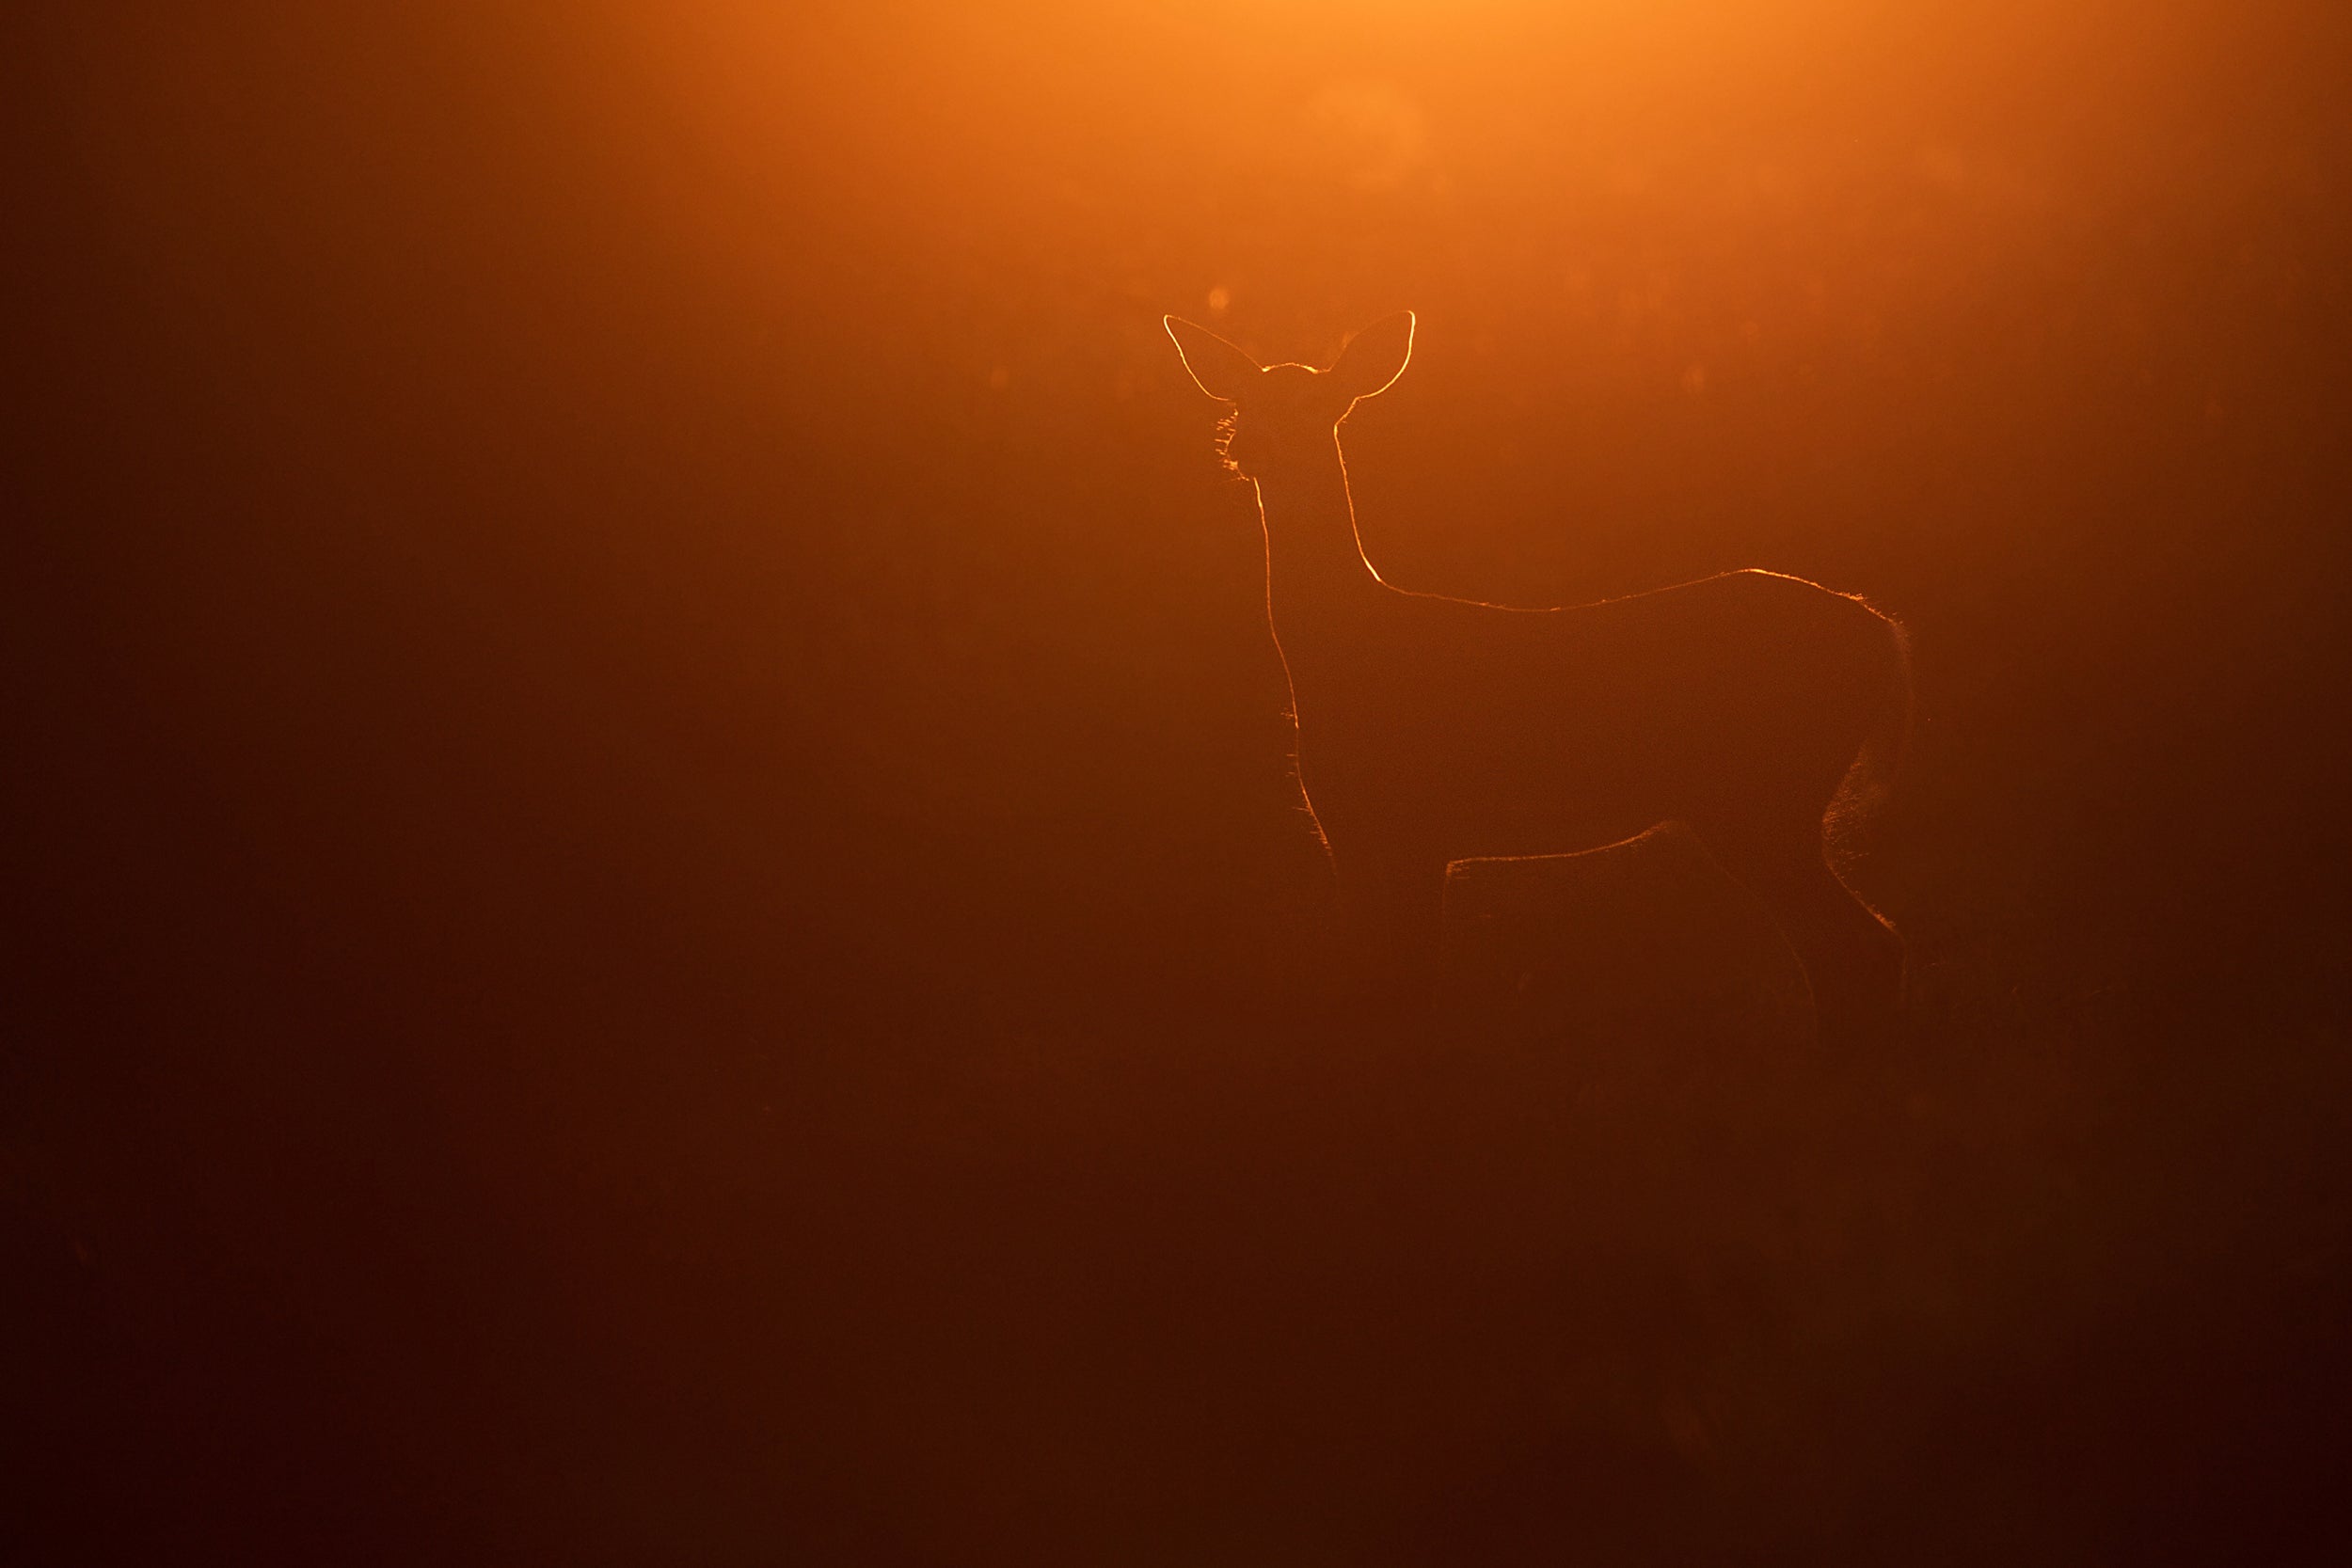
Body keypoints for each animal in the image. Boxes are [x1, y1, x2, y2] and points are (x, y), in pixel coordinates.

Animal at [1165, 310, 1911, 1041]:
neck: (1346, 648)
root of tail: (1885, 636)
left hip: (1761, 795)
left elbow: (1399, 996)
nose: (1245, 444)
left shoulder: (1402, 827)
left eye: (1317, 405)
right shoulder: (1365, 837)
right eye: (1241, 401)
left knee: (1857, 943)